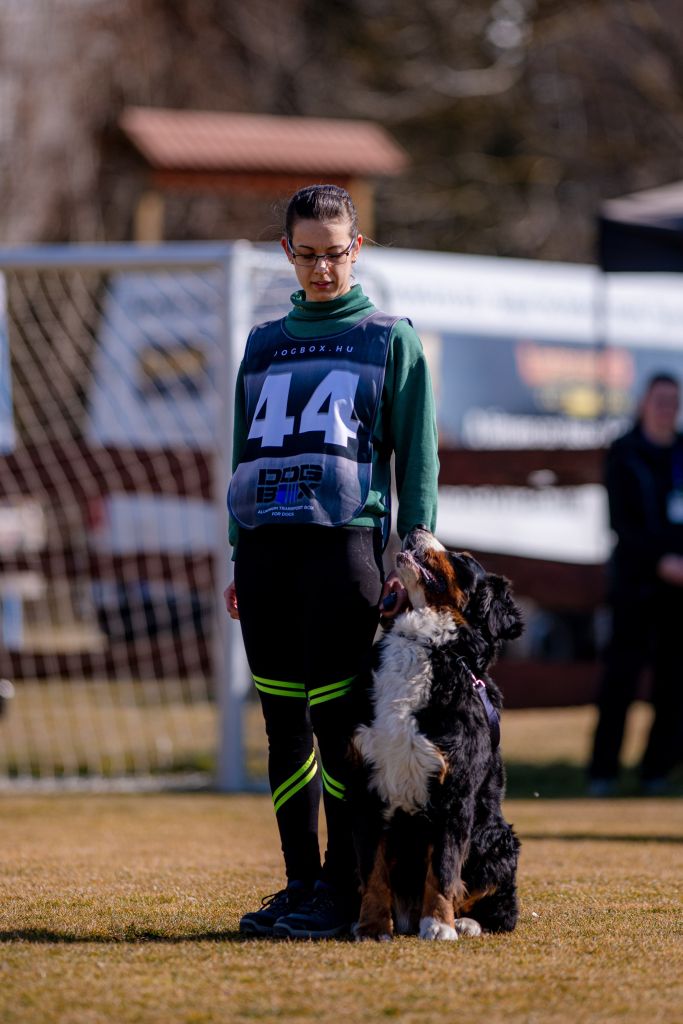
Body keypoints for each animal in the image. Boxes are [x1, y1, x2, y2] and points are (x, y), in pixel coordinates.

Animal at [350, 526, 523, 942]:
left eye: (463, 559)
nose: (417, 529)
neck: (423, 644)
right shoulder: (367, 787)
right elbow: (372, 871)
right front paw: (372, 926)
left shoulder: (454, 793)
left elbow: (443, 869)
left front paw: (439, 924)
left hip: (497, 840)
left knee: (501, 909)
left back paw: (464, 922)